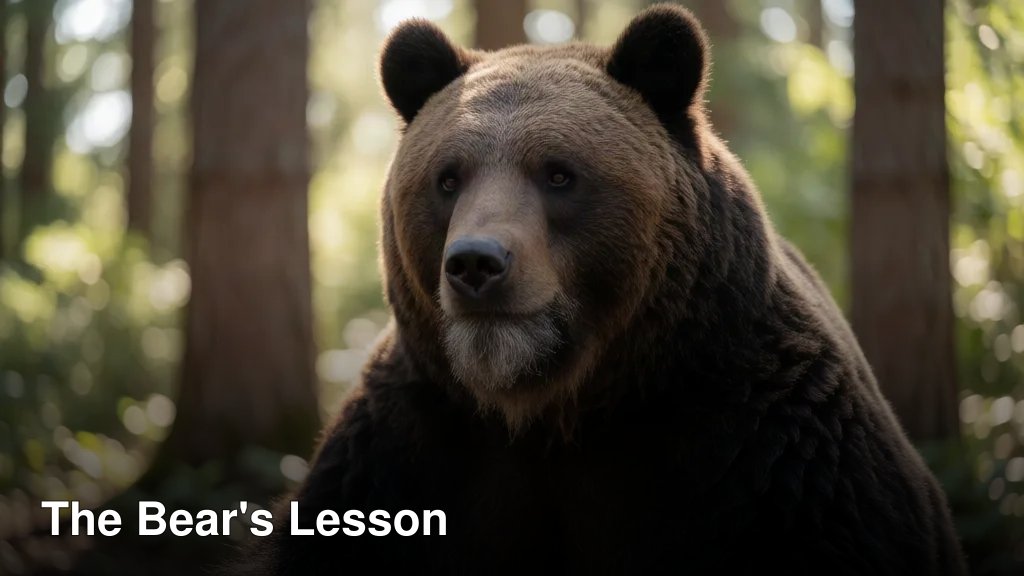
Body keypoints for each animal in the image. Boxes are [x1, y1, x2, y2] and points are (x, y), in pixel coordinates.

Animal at [252, 5, 966, 575]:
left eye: (559, 173)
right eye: (447, 178)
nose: (476, 263)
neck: (560, 407)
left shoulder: (779, 453)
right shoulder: (406, 448)